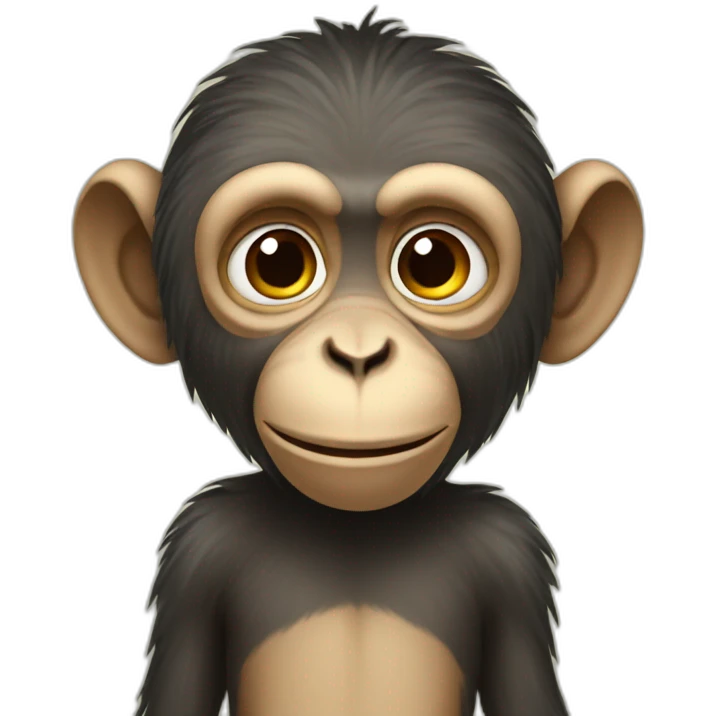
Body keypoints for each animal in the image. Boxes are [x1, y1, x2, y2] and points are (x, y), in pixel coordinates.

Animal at [71, 9, 644, 716]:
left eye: (433, 263)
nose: (359, 351)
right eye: (276, 262)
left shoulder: (510, 550)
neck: (356, 534)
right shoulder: (199, 545)